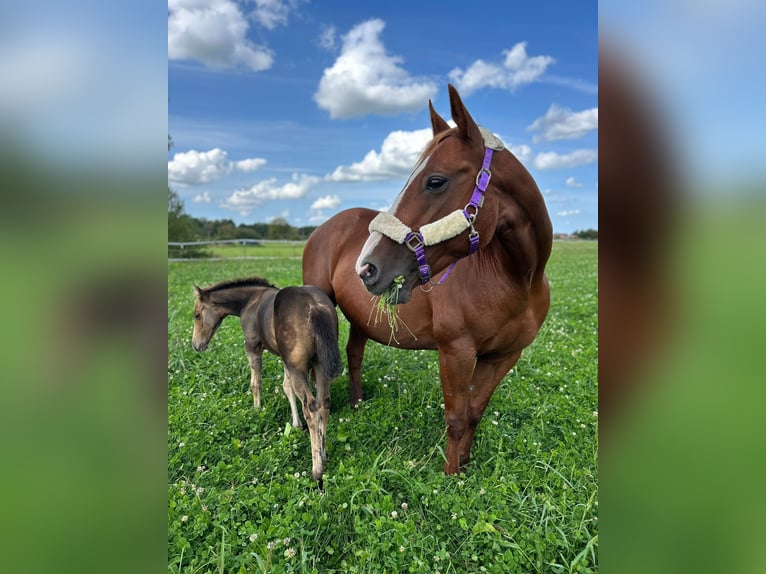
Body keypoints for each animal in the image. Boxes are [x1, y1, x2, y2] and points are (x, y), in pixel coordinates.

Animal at [304, 83, 552, 474]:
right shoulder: (456, 352)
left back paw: (358, 405)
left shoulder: (504, 356)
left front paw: (465, 464)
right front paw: (451, 475)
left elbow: (475, 411)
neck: (516, 279)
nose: (367, 267)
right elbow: (456, 417)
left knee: (355, 353)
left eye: (435, 181)